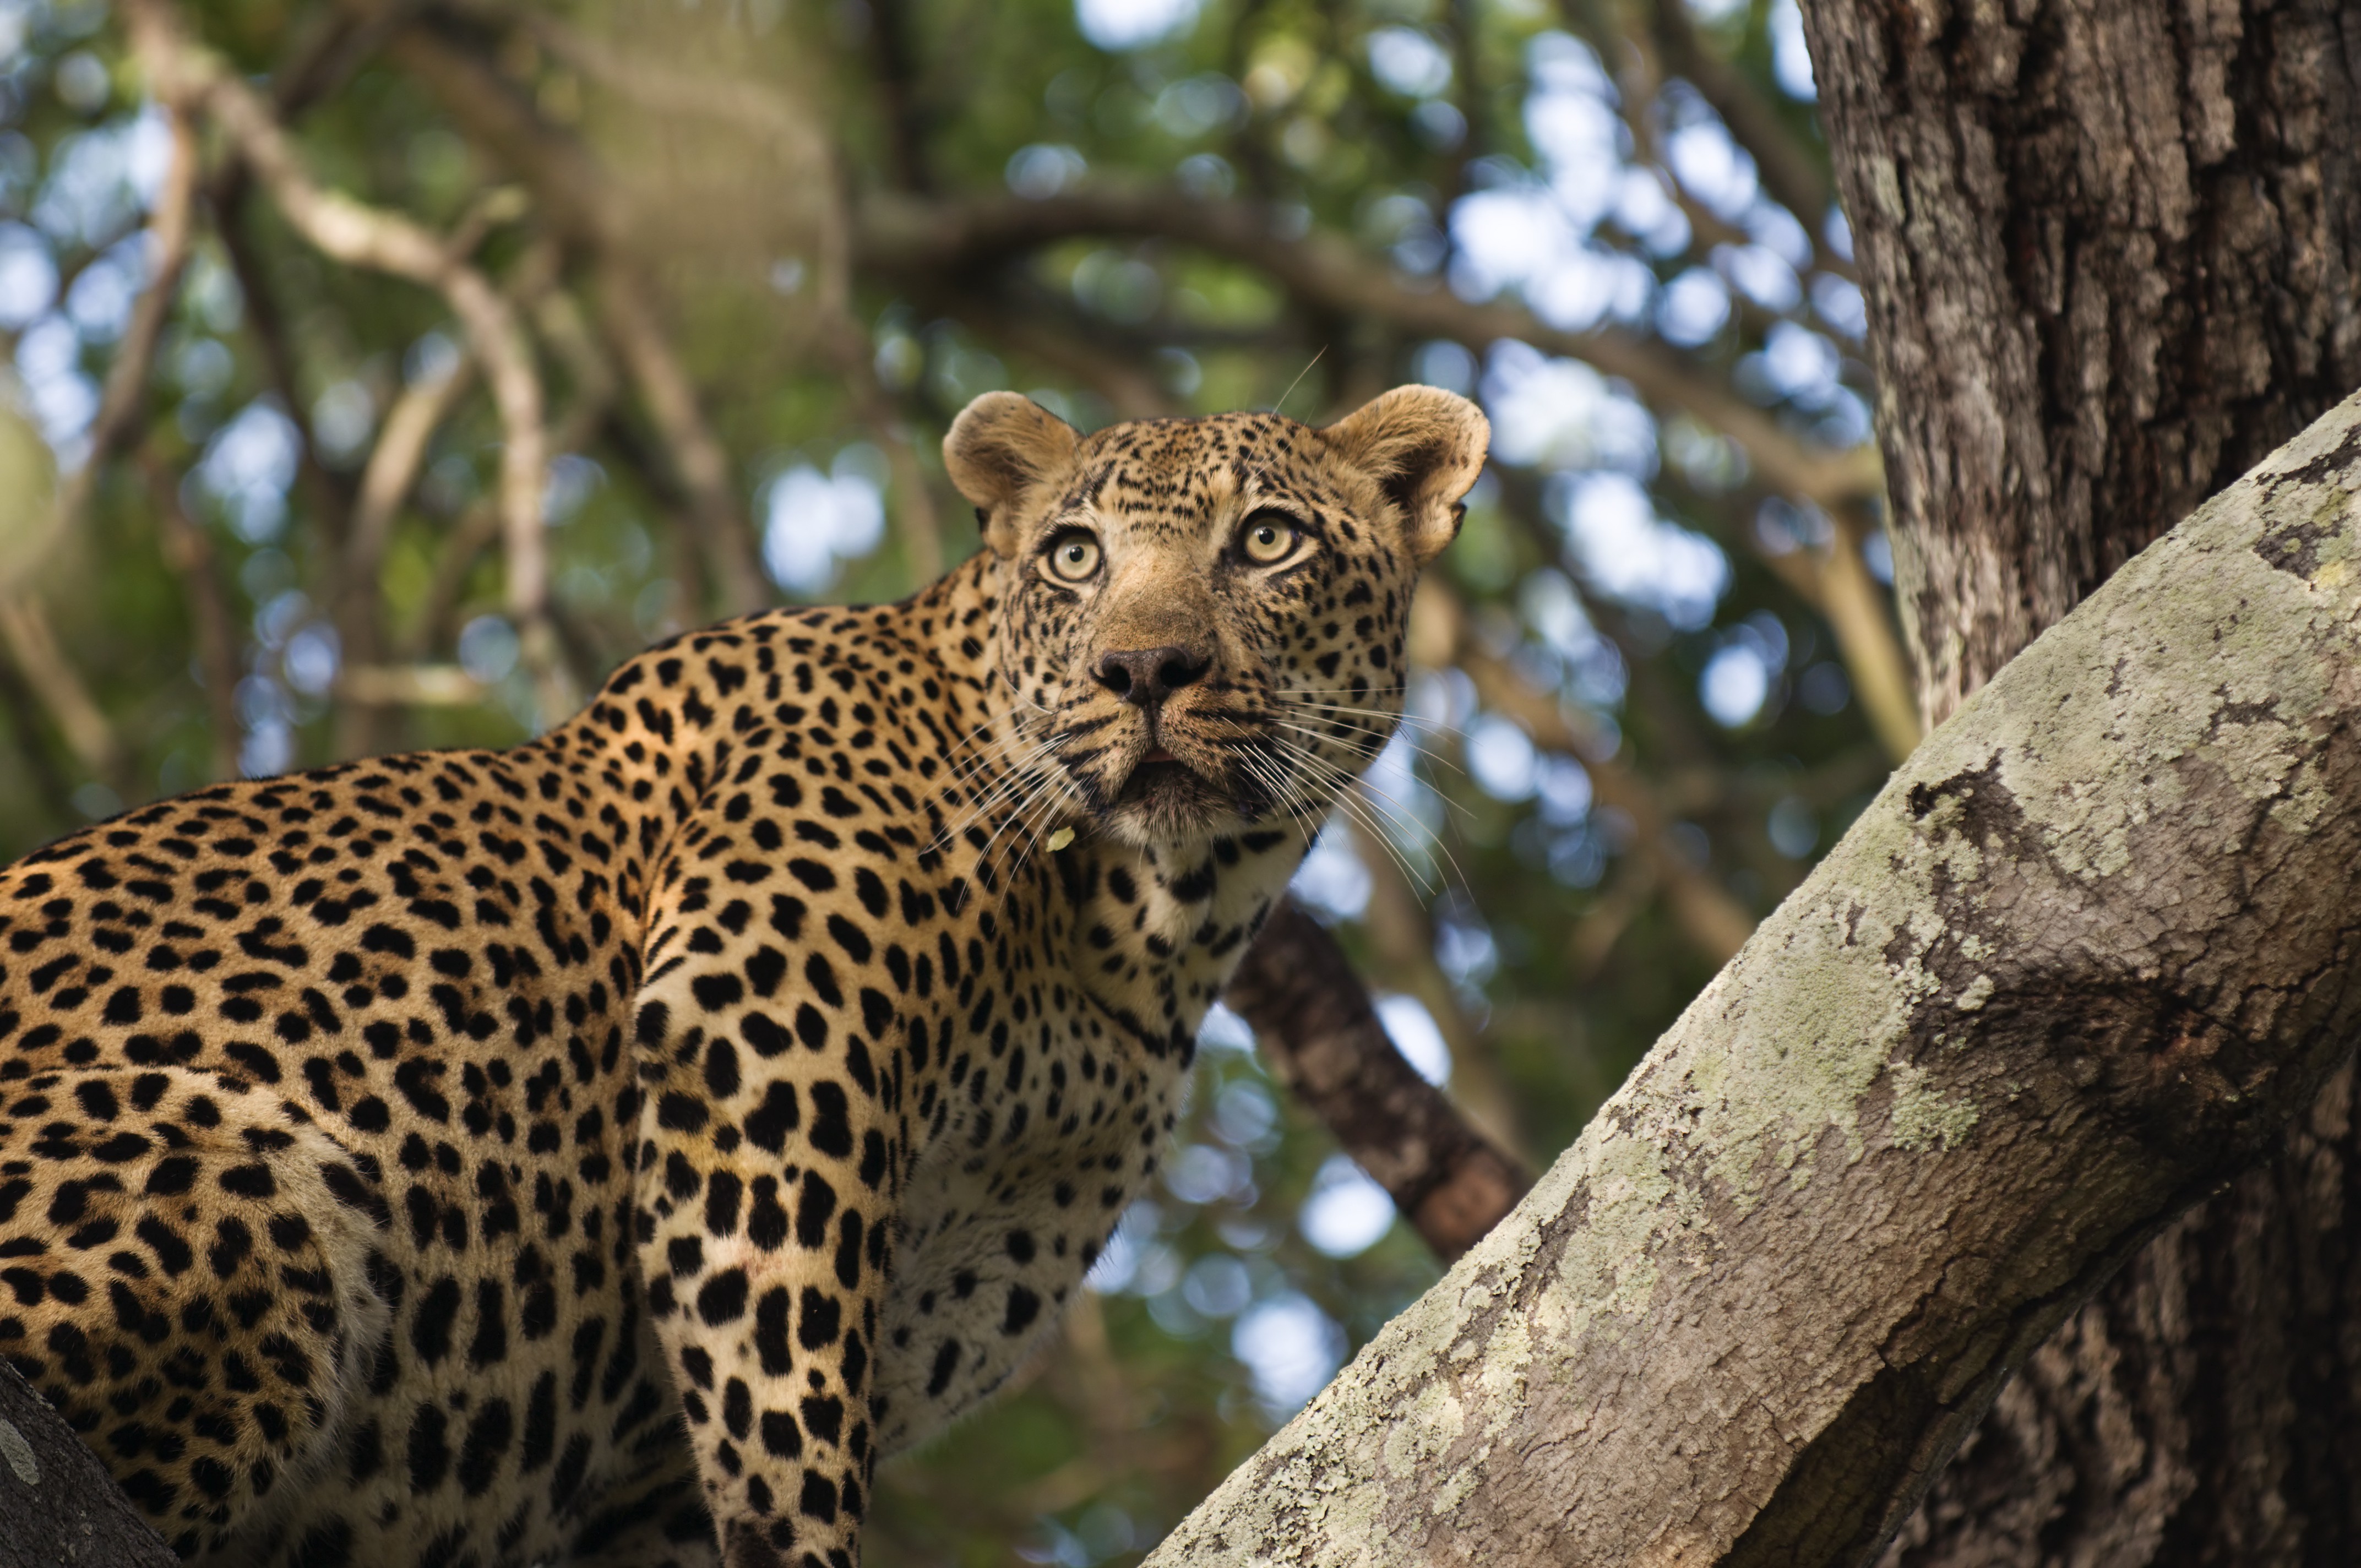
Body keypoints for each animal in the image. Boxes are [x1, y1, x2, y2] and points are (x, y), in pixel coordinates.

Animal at [0, 382, 1482, 1567]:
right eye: (1075, 556)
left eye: (1268, 539)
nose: (1143, 667)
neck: (1147, 927)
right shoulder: (764, 1066)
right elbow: (784, 1419)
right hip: (255, 1186)